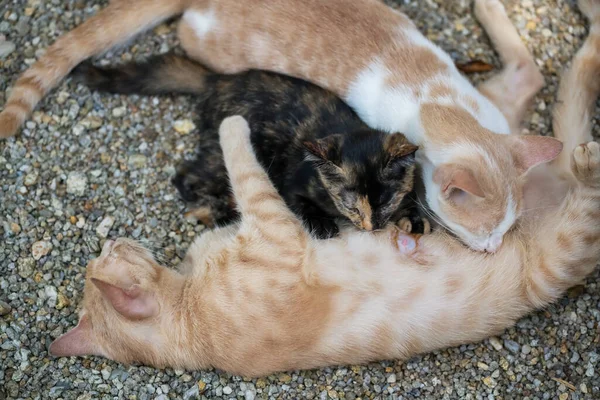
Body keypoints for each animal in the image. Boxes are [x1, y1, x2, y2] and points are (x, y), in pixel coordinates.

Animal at [71, 54, 426, 239]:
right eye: (350, 203)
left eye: (385, 200)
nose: (372, 226)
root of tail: (217, 80)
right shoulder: (293, 178)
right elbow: (297, 200)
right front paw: (321, 223)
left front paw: (412, 220)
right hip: (222, 152)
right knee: (185, 176)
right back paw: (219, 210)